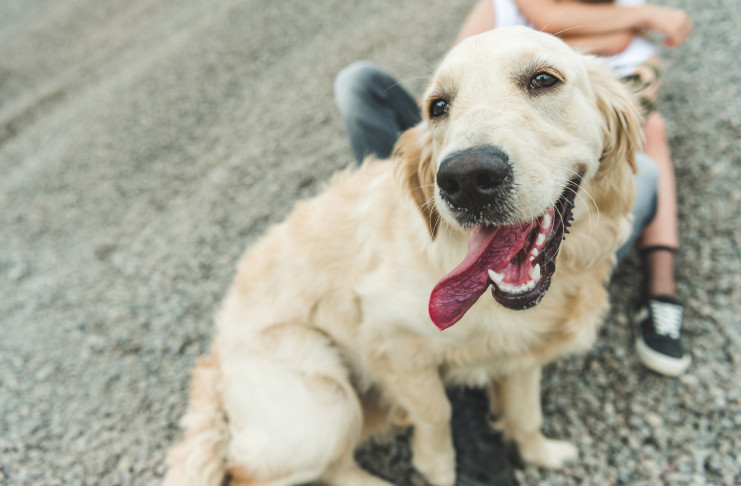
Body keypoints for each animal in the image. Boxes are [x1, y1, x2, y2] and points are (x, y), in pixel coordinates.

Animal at [165, 26, 640, 486]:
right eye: (438, 106)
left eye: (543, 79)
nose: (467, 178)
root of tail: (214, 353)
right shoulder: (387, 333)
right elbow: (435, 412)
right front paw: (439, 465)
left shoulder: (521, 349)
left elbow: (525, 412)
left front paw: (542, 453)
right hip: (322, 406)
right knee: (263, 473)